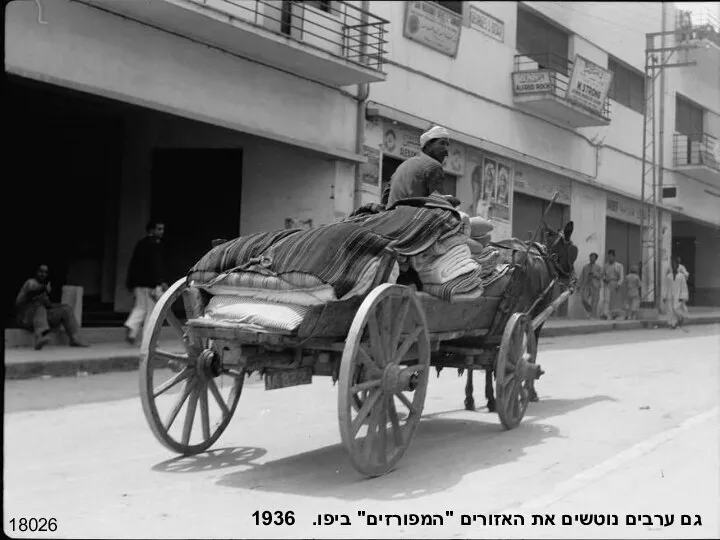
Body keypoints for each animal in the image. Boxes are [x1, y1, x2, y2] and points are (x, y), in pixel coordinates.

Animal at [462, 221, 580, 412]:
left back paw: (473, 398)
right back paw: (495, 398)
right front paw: (531, 392)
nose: (573, 279)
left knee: (474, 355)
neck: (545, 257)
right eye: (573, 250)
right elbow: (531, 351)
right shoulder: (534, 317)